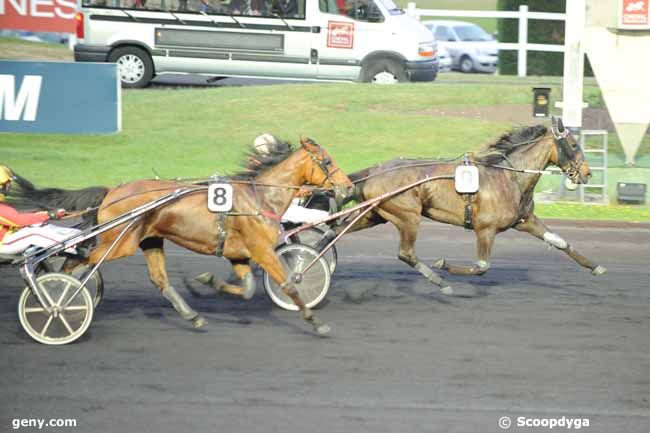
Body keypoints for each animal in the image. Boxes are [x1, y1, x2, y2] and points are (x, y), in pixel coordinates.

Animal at [20, 138, 352, 334]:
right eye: (327, 161)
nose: (347, 187)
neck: (259, 199)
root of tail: (112, 192)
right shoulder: (262, 250)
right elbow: (289, 284)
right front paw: (315, 321)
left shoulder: (238, 254)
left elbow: (245, 289)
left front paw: (207, 281)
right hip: (118, 243)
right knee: (75, 261)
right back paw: (56, 299)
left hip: (150, 240)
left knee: (158, 279)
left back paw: (192, 315)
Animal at [332, 118, 604, 294]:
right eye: (574, 145)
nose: (588, 173)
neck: (509, 177)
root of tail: (374, 170)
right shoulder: (485, 229)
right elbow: (482, 266)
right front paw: (444, 265)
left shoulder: (525, 220)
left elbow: (560, 242)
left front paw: (595, 266)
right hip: (408, 215)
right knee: (406, 253)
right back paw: (440, 281)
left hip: (375, 214)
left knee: (336, 231)